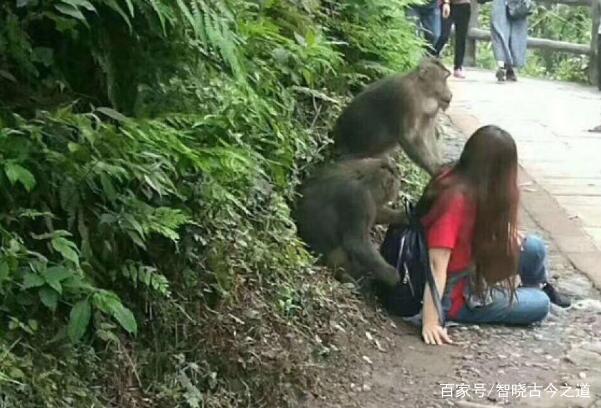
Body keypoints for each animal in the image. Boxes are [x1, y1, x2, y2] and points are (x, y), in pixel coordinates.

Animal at [294, 156, 406, 286]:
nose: (394, 196)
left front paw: (403, 216)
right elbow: (356, 243)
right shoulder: (359, 197)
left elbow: (377, 212)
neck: (365, 176)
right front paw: (391, 275)